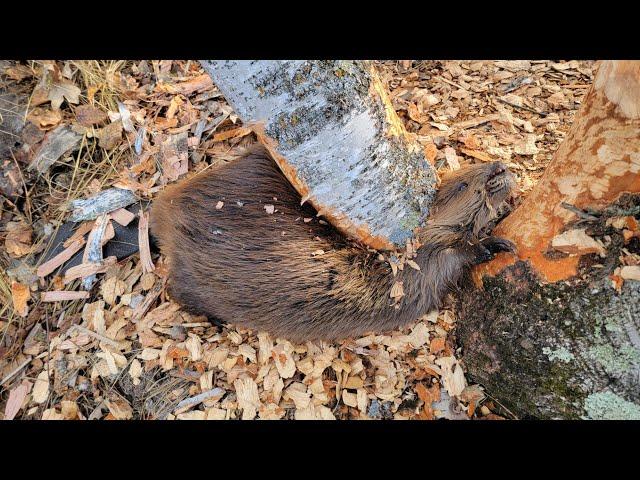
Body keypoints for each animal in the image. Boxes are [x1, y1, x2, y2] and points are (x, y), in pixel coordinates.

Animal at [150, 145, 516, 342]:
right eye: (463, 185)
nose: (500, 167)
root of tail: (162, 210)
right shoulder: (419, 263)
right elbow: (454, 254)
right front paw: (498, 244)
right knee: (177, 289)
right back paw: (215, 320)